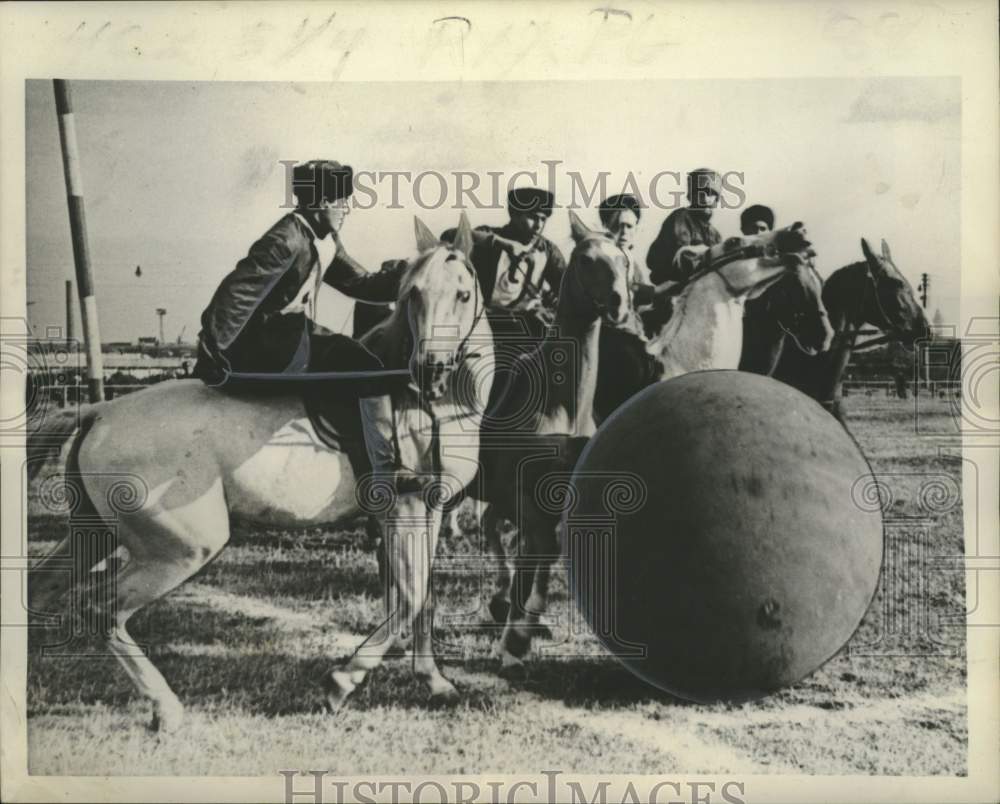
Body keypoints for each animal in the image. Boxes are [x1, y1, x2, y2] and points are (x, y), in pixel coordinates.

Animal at [29, 214, 498, 728]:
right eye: (412, 294)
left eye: (463, 294)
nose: (431, 369)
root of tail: (101, 412)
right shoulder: (406, 510)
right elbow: (410, 598)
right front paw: (341, 683)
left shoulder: (428, 512)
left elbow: (421, 598)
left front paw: (435, 682)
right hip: (179, 548)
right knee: (102, 609)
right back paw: (166, 707)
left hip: (93, 533)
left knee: (39, 588)